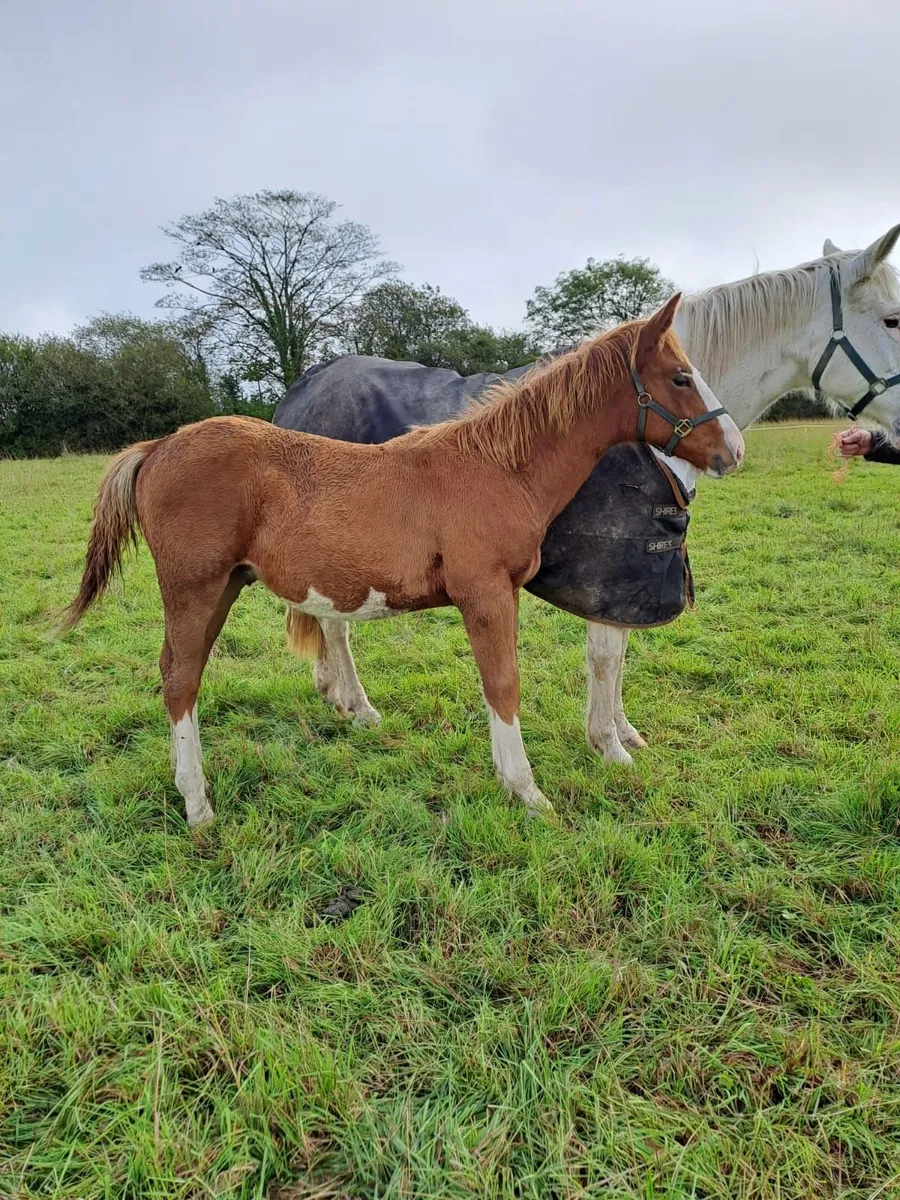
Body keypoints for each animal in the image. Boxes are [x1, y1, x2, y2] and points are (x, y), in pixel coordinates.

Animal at [63, 298, 743, 826]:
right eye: (680, 378)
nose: (733, 449)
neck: (499, 467)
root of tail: (158, 448)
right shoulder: (486, 594)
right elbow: (504, 685)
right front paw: (527, 792)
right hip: (195, 588)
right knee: (181, 679)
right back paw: (198, 805)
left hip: (224, 587)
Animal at [274, 225, 900, 764]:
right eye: (893, 319)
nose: (736, 451)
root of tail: (302, 388)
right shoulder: (611, 570)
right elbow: (605, 655)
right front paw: (609, 746)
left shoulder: (631, 577)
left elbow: (618, 655)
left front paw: (623, 732)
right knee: (336, 624)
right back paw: (359, 707)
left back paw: (334, 693)